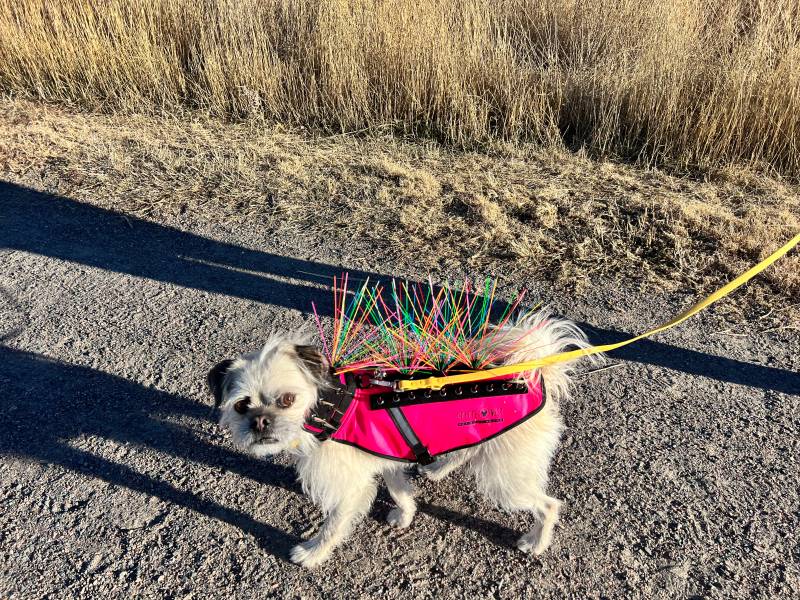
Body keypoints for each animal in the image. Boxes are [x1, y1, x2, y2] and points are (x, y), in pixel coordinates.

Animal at [209, 312, 592, 568]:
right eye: (242, 405)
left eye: (287, 399)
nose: (260, 421)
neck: (329, 407)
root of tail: (534, 373)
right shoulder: (385, 458)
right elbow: (399, 489)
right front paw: (405, 514)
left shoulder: (350, 489)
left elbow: (333, 525)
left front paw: (313, 553)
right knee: (464, 453)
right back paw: (437, 469)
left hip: (506, 478)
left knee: (548, 505)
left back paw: (537, 542)